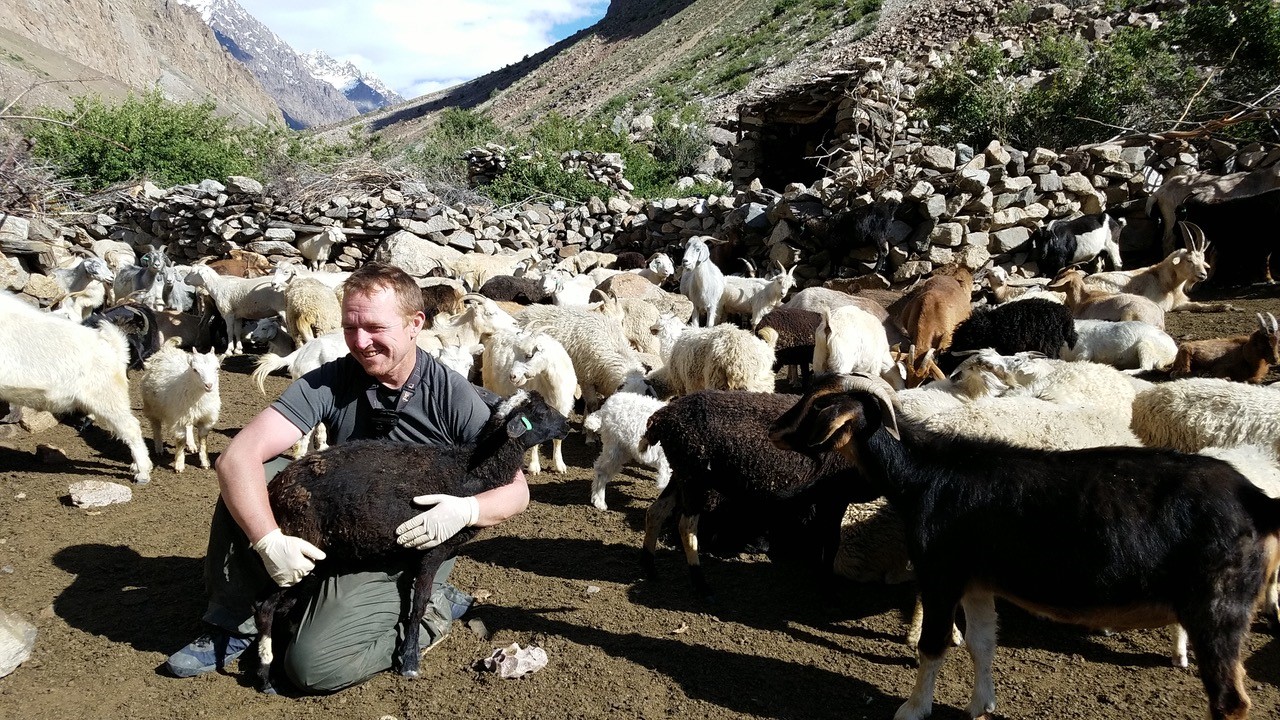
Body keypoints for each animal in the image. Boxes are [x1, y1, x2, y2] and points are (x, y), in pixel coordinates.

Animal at [140, 338, 222, 474]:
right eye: (195, 370)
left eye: (217, 369)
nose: (209, 385)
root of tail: (166, 349)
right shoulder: (178, 420)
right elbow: (180, 441)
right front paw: (179, 465)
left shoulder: (206, 419)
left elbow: (203, 440)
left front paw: (205, 462)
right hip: (152, 406)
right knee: (156, 425)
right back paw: (159, 448)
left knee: (188, 426)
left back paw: (191, 445)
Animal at [481, 330, 578, 474]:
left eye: (529, 355)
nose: (512, 376)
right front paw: (534, 467)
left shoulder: (563, 408)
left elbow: (558, 439)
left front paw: (560, 465)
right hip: (488, 383)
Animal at [768, 371, 1280, 717]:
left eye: (817, 407)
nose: (773, 430)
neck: (927, 475)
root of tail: (1257, 500)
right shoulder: (977, 582)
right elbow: (981, 644)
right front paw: (980, 706)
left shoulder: (942, 574)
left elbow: (933, 646)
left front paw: (912, 709)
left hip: (1218, 608)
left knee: (1230, 701)